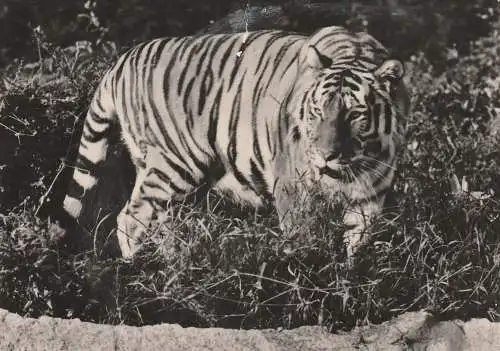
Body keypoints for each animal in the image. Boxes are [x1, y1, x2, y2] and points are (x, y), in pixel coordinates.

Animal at [50, 24, 410, 260]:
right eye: (318, 110)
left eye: (354, 115)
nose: (325, 155)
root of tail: (123, 60)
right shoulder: (294, 190)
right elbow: (304, 242)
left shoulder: (369, 199)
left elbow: (355, 248)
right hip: (176, 164)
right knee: (131, 218)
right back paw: (144, 272)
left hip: (156, 168)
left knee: (155, 218)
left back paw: (171, 262)